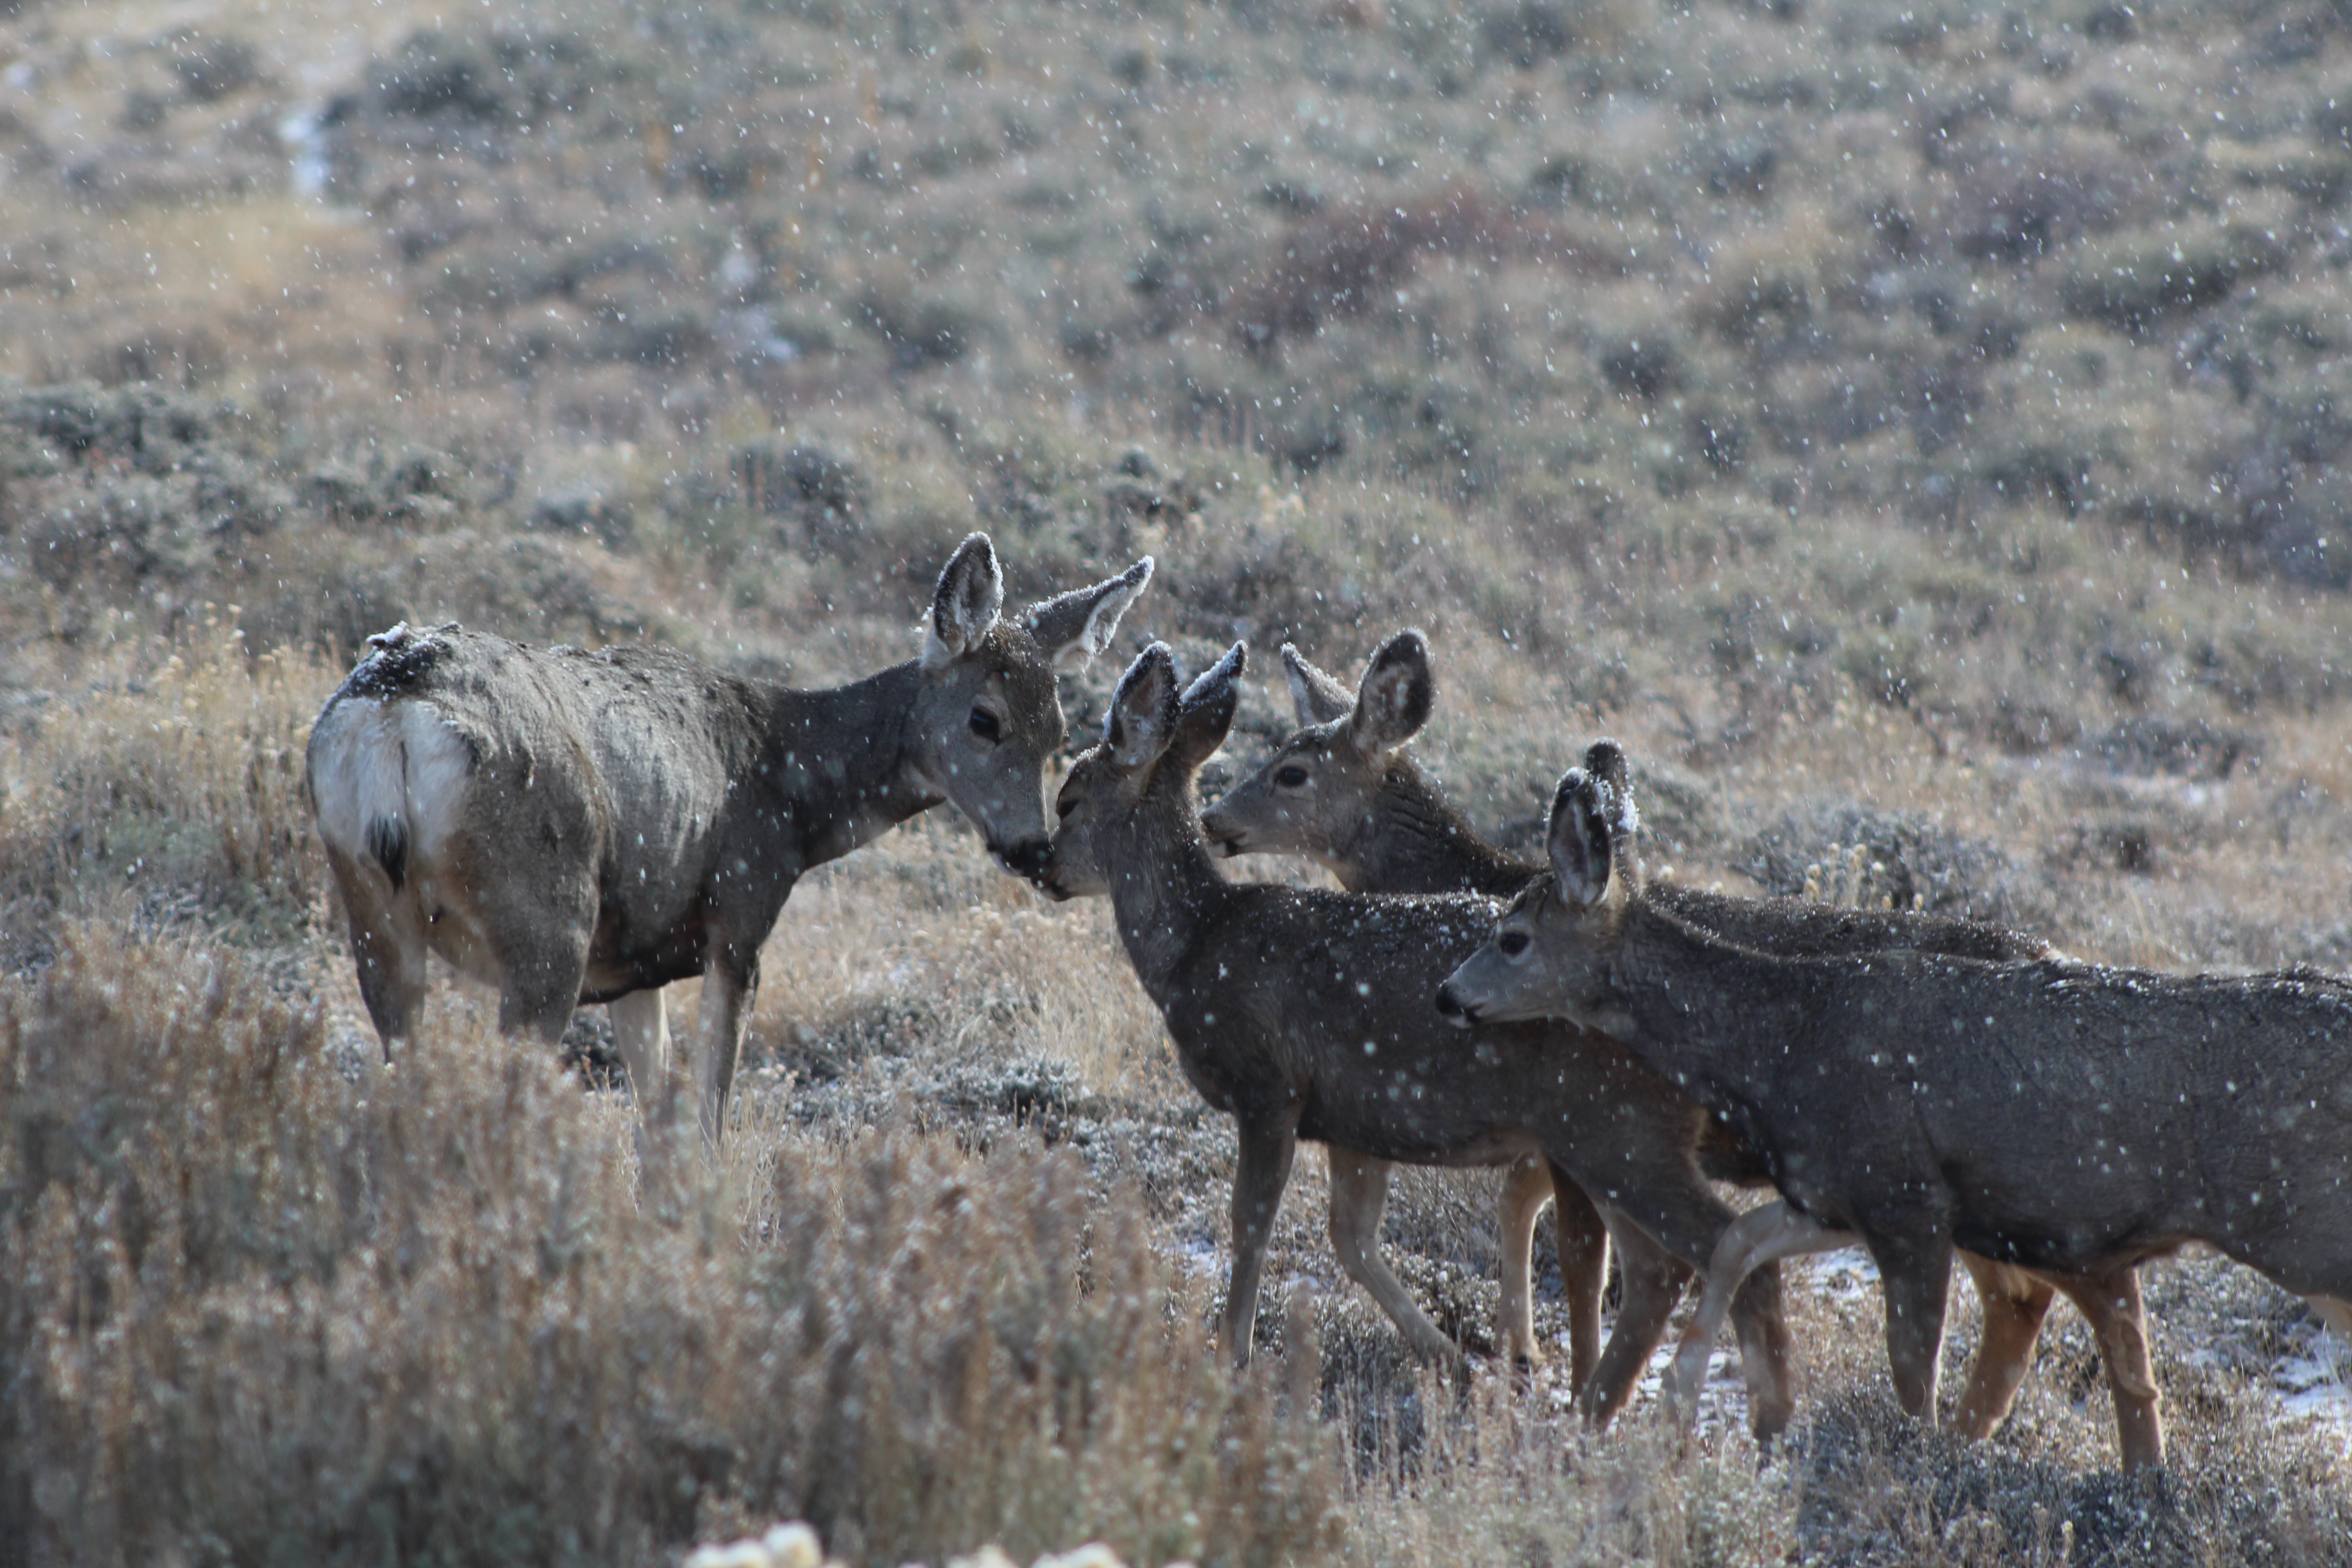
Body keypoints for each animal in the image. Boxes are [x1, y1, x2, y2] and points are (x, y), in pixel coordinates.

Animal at [308, 533, 1151, 1154]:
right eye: (984, 719)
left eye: (1060, 732)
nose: (1030, 847)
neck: (791, 793)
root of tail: (394, 711)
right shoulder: (740, 917)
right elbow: (709, 1117)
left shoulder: (634, 963)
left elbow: (657, 1120)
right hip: (547, 917)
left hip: (370, 903)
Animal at [1037, 641, 1800, 1441]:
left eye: (1069, 798)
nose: (1040, 866)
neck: (1197, 943)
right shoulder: (1352, 1116)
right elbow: (1352, 1237)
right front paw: (1458, 1365)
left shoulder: (1268, 1085)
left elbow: (1251, 1227)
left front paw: (1230, 1364)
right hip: (1609, 1137)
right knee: (1663, 1264)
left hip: (1611, 1129)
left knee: (1697, 1255)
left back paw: (1723, 1422)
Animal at [1209, 633, 2173, 1467]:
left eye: (1289, 770)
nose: (1216, 821)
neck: (1469, 881)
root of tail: (2052, 953)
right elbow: (1522, 1214)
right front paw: (1525, 1361)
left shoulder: (1579, 1119)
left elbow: (1580, 1254)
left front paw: (1573, 1384)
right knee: (2033, 1298)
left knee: (2069, 1295)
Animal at [1440, 751, 2352, 1463]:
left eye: (1512, 938)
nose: (1449, 996)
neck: (1785, 1037)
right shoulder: (1833, 1193)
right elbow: (1738, 1244)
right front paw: (1685, 1408)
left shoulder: (1905, 1197)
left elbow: (1910, 1370)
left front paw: (1911, 1459)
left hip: (2304, 1229)